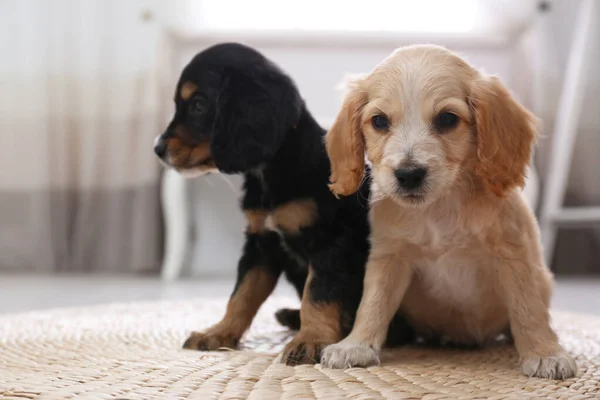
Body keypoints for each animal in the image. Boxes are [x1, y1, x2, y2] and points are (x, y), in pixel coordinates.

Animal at [154, 42, 412, 364]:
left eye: (198, 105)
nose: (157, 148)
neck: (271, 171)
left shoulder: (330, 241)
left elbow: (318, 292)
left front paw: (310, 340)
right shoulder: (261, 242)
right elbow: (242, 293)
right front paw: (219, 333)